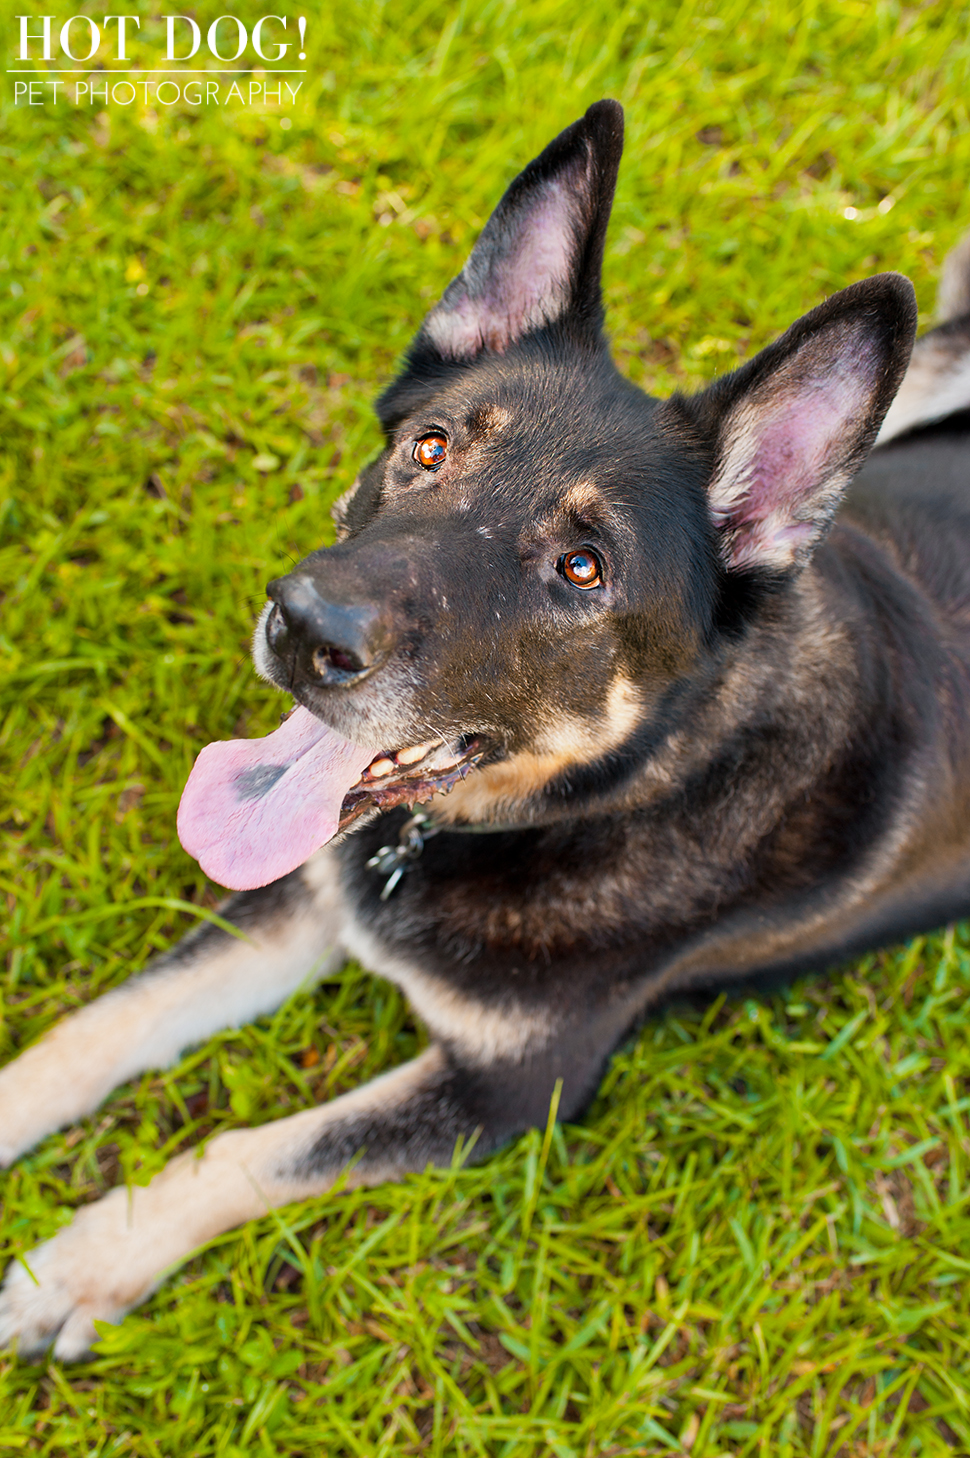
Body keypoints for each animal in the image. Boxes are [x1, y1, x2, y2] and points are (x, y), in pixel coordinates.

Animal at [1, 99, 968, 1353]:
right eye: (430, 447)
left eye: (582, 568)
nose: (300, 628)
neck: (600, 794)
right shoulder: (304, 899)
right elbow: (99, 1029)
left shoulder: (511, 1092)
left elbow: (245, 1154)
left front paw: (76, 1268)